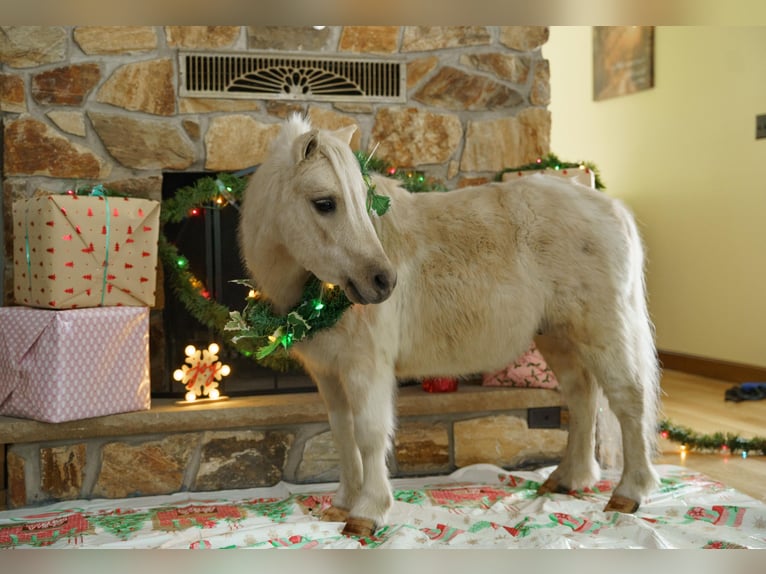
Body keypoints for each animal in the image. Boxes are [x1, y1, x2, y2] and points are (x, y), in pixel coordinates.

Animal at [237, 113, 660, 537]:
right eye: (324, 203)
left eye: (361, 201)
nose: (383, 282)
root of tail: (611, 207)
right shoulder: (328, 373)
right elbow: (342, 434)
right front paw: (342, 505)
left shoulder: (364, 368)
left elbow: (369, 435)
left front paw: (367, 512)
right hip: (558, 336)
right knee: (581, 396)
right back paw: (570, 479)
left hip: (601, 330)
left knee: (628, 400)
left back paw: (628, 493)